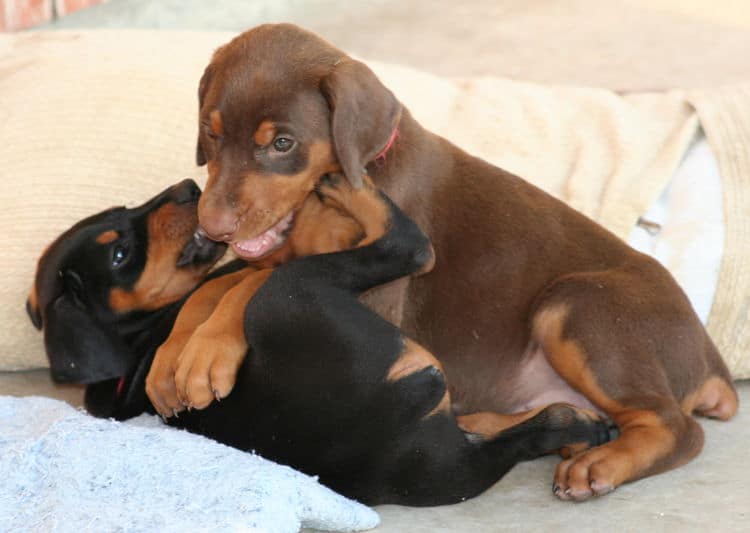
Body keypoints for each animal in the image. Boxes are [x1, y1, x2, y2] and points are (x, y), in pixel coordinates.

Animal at [27, 177, 612, 504]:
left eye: (125, 212)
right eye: (120, 253)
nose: (189, 189)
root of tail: (391, 447)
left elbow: (212, 291)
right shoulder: (262, 277)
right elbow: (230, 283)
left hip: (453, 462)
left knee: (510, 432)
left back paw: (580, 427)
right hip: (293, 295)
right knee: (409, 248)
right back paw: (352, 191)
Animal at [148, 23, 740, 498]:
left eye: (283, 144)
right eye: (210, 133)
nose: (213, 228)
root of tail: (712, 360)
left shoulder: (368, 291)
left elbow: (250, 287)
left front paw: (203, 356)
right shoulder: (275, 254)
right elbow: (213, 286)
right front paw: (170, 356)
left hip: (575, 306)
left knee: (679, 429)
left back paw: (600, 464)